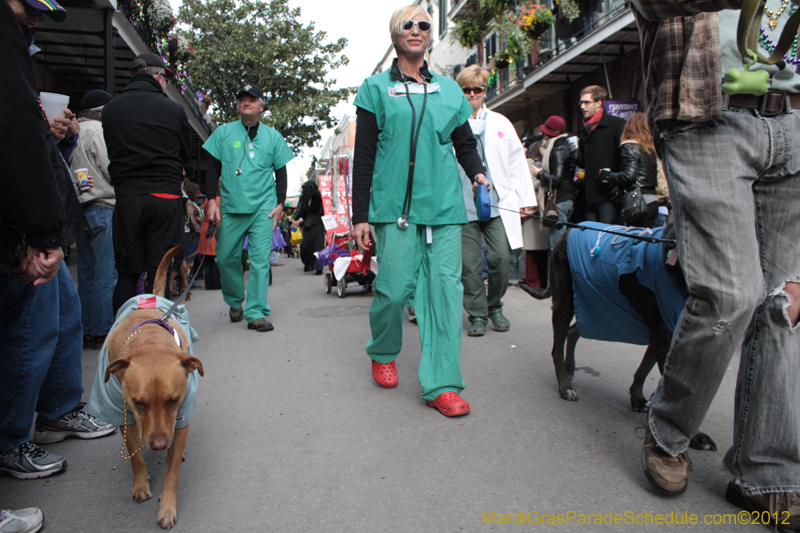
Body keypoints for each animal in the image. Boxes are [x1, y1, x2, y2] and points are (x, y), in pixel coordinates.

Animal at [100, 245, 203, 528]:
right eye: (138, 402)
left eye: (173, 400)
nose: (158, 444)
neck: (150, 341)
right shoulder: (123, 414)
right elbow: (135, 456)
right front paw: (140, 484)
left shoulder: (181, 417)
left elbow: (172, 472)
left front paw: (167, 506)